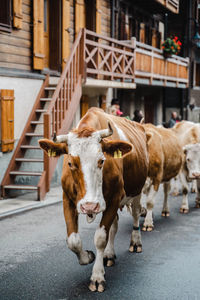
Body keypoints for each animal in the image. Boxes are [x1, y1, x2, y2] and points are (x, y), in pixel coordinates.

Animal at [38, 108, 149, 292]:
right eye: (70, 163)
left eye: (102, 160)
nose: (90, 206)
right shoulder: (68, 200)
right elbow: (73, 240)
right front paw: (88, 257)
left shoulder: (114, 198)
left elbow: (100, 238)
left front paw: (97, 276)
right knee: (114, 225)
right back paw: (109, 254)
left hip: (136, 191)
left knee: (135, 214)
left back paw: (136, 242)